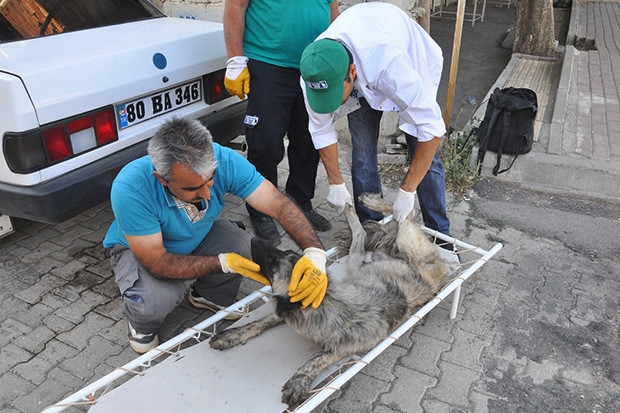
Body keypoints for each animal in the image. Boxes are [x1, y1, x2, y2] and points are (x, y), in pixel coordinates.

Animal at [211, 195, 452, 408]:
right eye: (284, 253)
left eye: (273, 264)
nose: (253, 238)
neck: (330, 304)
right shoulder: (287, 313)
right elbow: (260, 322)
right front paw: (233, 334)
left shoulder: (349, 345)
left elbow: (319, 357)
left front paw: (299, 380)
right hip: (357, 262)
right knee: (363, 232)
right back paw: (353, 207)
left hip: (406, 244)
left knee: (405, 215)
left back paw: (372, 202)